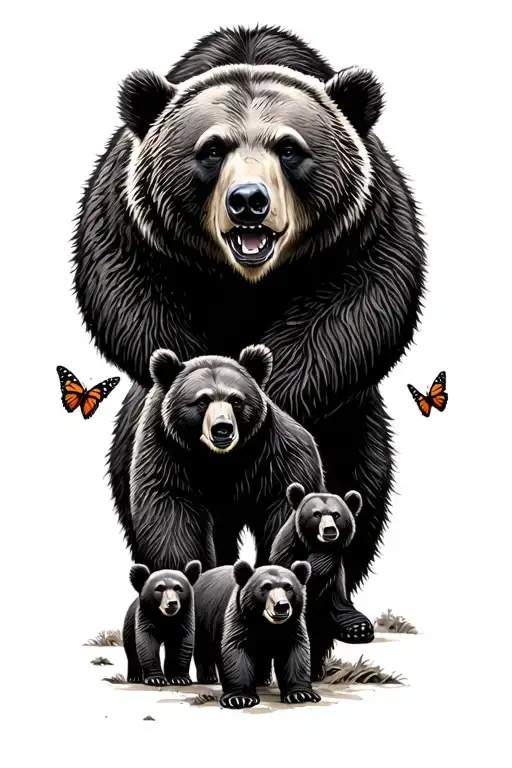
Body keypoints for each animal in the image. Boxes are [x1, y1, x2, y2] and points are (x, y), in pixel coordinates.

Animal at [129, 344, 325, 571]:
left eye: (236, 400)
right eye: (202, 401)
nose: (222, 428)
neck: (220, 460)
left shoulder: (278, 457)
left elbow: (285, 506)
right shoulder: (166, 451)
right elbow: (171, 510)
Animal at [193, 559, 321, 708]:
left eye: (288, 587)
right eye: (265, 587)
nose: (281, 606)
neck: (266, 624)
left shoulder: (291, 625)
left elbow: (294, 652)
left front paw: (300, 694)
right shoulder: (239, 619)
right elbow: (236, 650)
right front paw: (240, 698)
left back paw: (262, 680)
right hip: (202, 618)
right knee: (203, 649)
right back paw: (208, 677)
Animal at [270, 483, 373, 682]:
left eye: (336, 514)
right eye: (316, 514)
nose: (329, 531)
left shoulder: (333, 583)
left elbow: (339, 610)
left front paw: (360, 629)